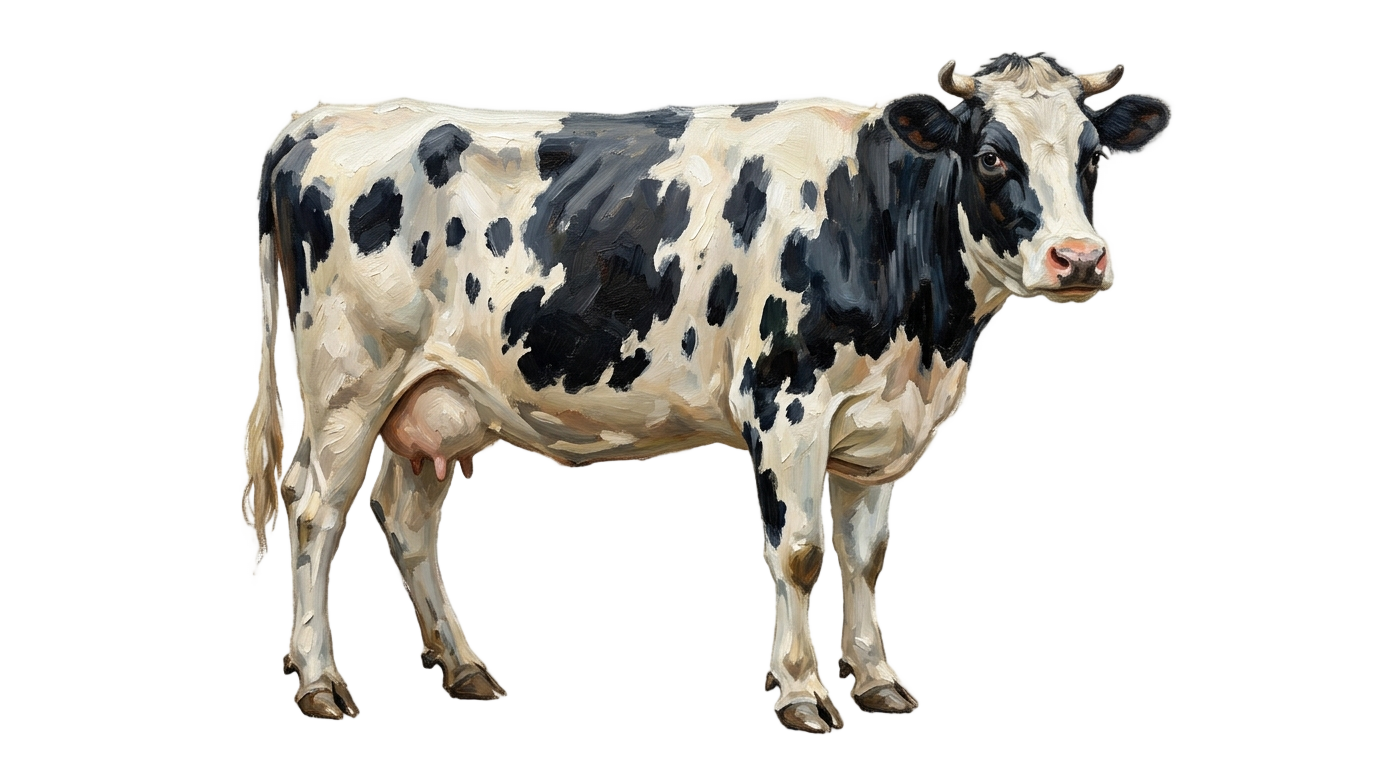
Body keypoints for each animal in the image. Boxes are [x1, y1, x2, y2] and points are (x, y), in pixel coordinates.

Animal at [243, 52, 1167, 732]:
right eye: (992, 155)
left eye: (1091, 157)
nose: (1080, 259)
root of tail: (323, 125)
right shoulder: (785, 404)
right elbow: (801, 553)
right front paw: (800, 693)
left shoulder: (875, 428)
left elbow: (865, 557)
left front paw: (875, 679)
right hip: (349, 382)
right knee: (315, 514)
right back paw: (318, 682)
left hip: (432, 401)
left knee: (405, 525)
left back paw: (460, 665)